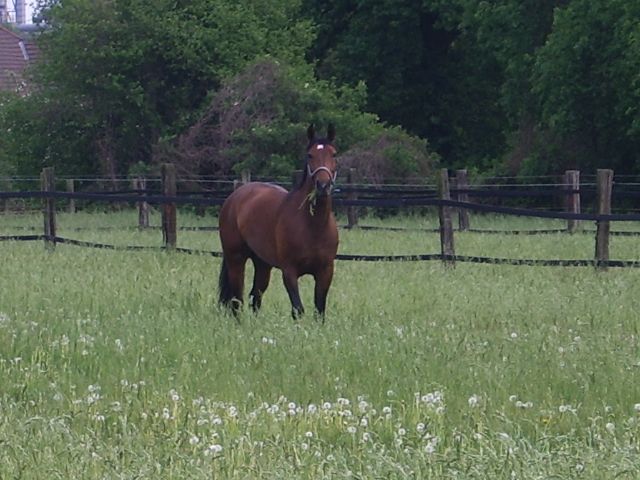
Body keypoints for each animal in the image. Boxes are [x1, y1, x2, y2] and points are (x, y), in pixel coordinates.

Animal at [219, 124, 340, 320]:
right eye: (310, 155)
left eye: (334, 154)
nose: (323, 186)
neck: (313, 226)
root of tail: (235, 196)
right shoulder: (289, 271)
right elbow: (298, 309)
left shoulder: (325, 272)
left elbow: (319, 310)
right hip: (235, 259)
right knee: (237, 300)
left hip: (262, 264)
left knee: (255, 297)